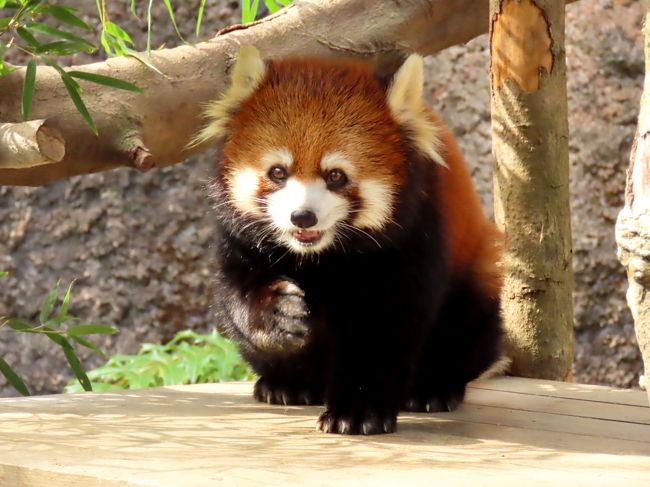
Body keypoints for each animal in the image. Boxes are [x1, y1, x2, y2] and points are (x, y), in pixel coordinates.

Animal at [196, 45, 502, 434]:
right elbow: (241, 293)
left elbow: (379, 329)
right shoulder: (242, 240)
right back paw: (289, 384)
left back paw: (432, 388)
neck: (319, 256)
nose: (302, 216)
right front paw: (280, 314)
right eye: (278, 172)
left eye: (336, 176)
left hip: (478, 271)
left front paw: (358, 411)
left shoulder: (414, 238)